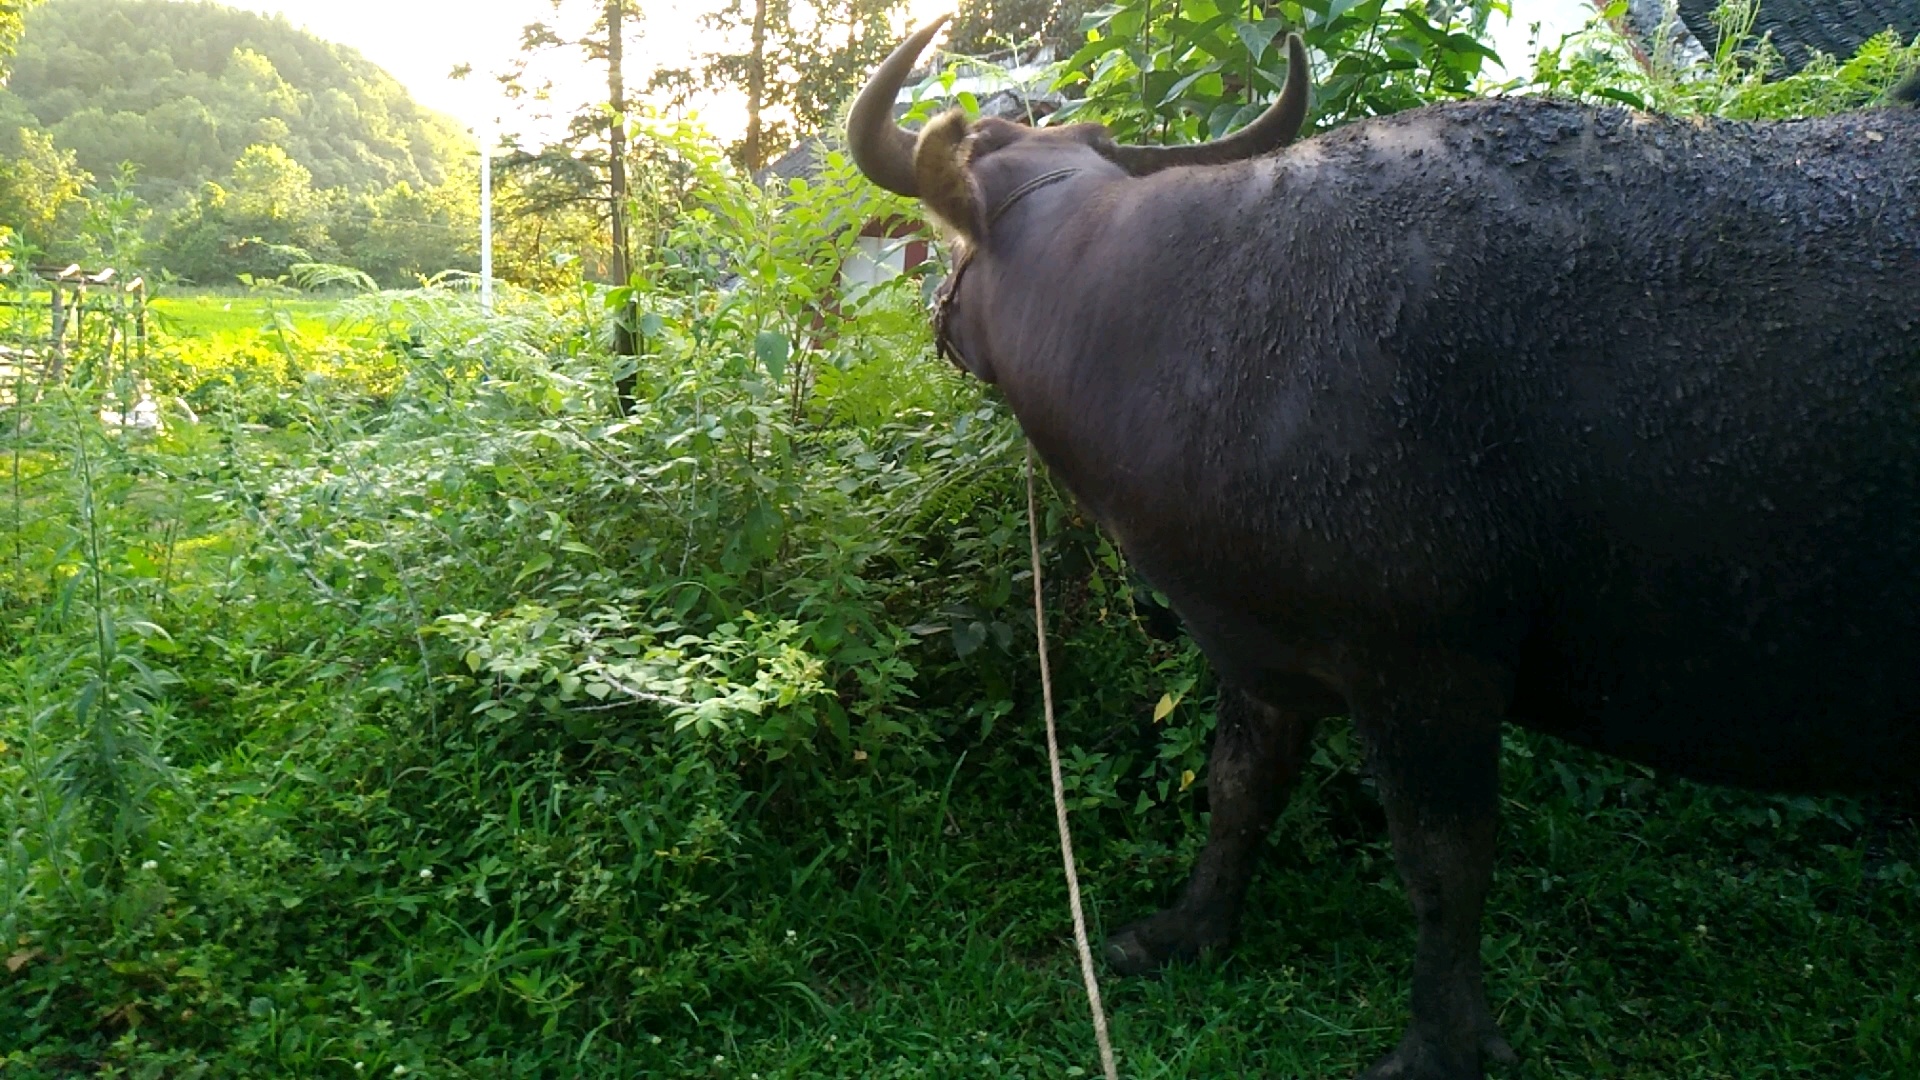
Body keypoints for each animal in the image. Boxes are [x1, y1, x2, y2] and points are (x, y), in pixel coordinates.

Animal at [852, 18, 1920, 1076]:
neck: (1198, 319)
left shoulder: (1429, 669)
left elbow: (1444, 859)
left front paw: (1438, 1046)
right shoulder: (1264, 648)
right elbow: (1240, 789)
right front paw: (1186, 932)